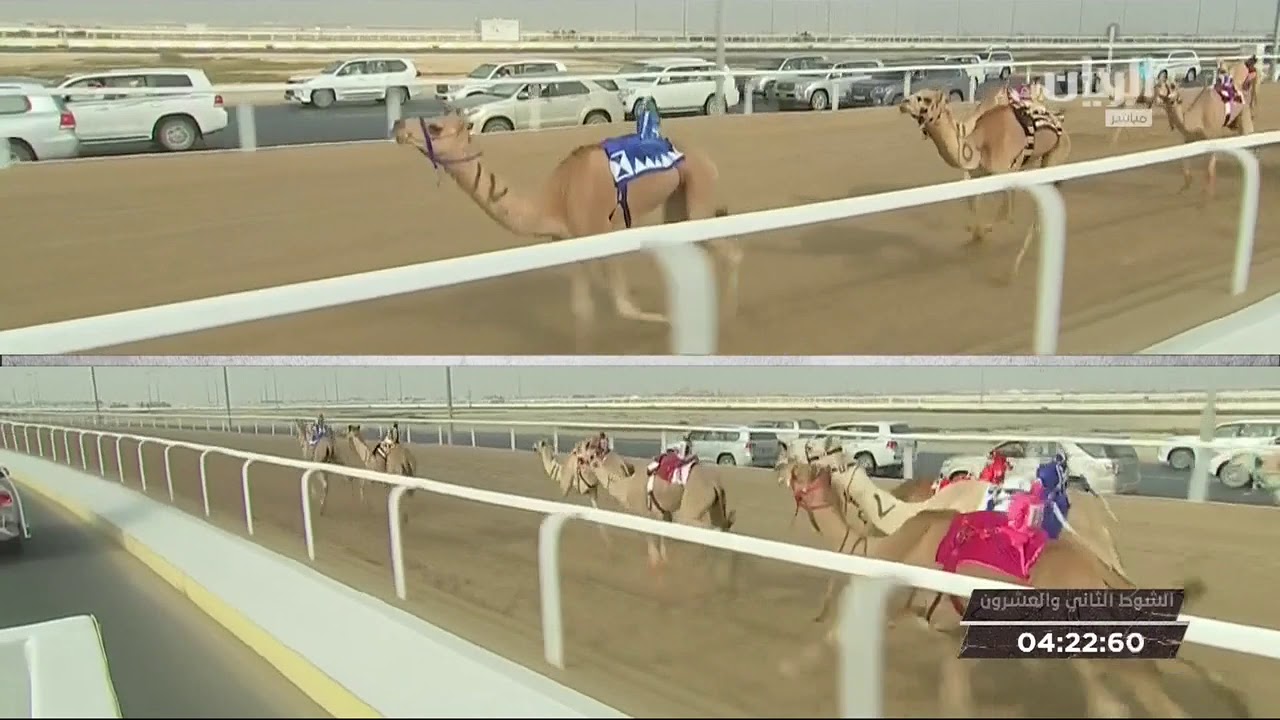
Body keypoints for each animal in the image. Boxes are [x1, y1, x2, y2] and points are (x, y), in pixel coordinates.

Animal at [392, 111, 744, 349]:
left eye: (436, 127)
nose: (398, 126)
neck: (553, 202)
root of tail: (706, 158)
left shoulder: (599, 233)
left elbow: (622, 305)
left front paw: (670, 322)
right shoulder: (569, 244)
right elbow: (582, 312)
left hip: (699, 192)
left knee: (731, 252)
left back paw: (727, 318)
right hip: (677, 205)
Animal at [777, 463, 1227, 718]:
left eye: (800, 469)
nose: (783, 463)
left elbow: (837, 635)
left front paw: (792, 671)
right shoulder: (954, 634)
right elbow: (954, 696)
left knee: (1120, 704)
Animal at [899, 88, 1072, 282]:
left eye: (925, 99)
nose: (903, 103)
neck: (978, 145)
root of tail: (1061, 125)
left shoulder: (1005, 173)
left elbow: (1004, 215)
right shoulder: (978, 176)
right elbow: (974, 206)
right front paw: (974, 235)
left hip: (1056, 156)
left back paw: (1013, 269)